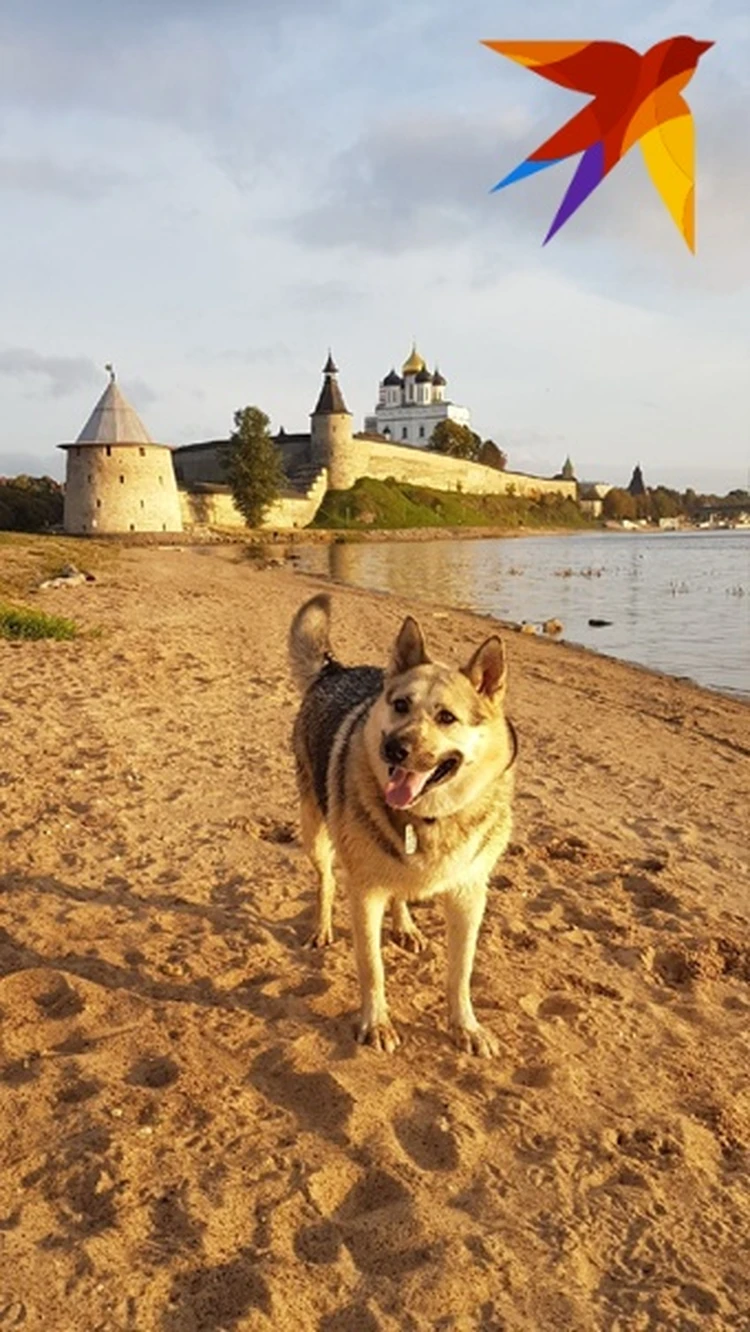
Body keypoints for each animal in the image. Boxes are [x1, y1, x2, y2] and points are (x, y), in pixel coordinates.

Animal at [287, 594, 516, 1060]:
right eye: (400, 706)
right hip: (314, 832)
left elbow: (460, 972)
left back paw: (405, 925)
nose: (394, 748)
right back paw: (322, 926)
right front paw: (376, 1022)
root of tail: (334, 670)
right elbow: (371, 967)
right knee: (325, 881)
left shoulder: (469, 897)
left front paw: (466, 1026)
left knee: (400, 892)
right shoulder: (365, 894)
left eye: (447, 717)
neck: (427, 817)